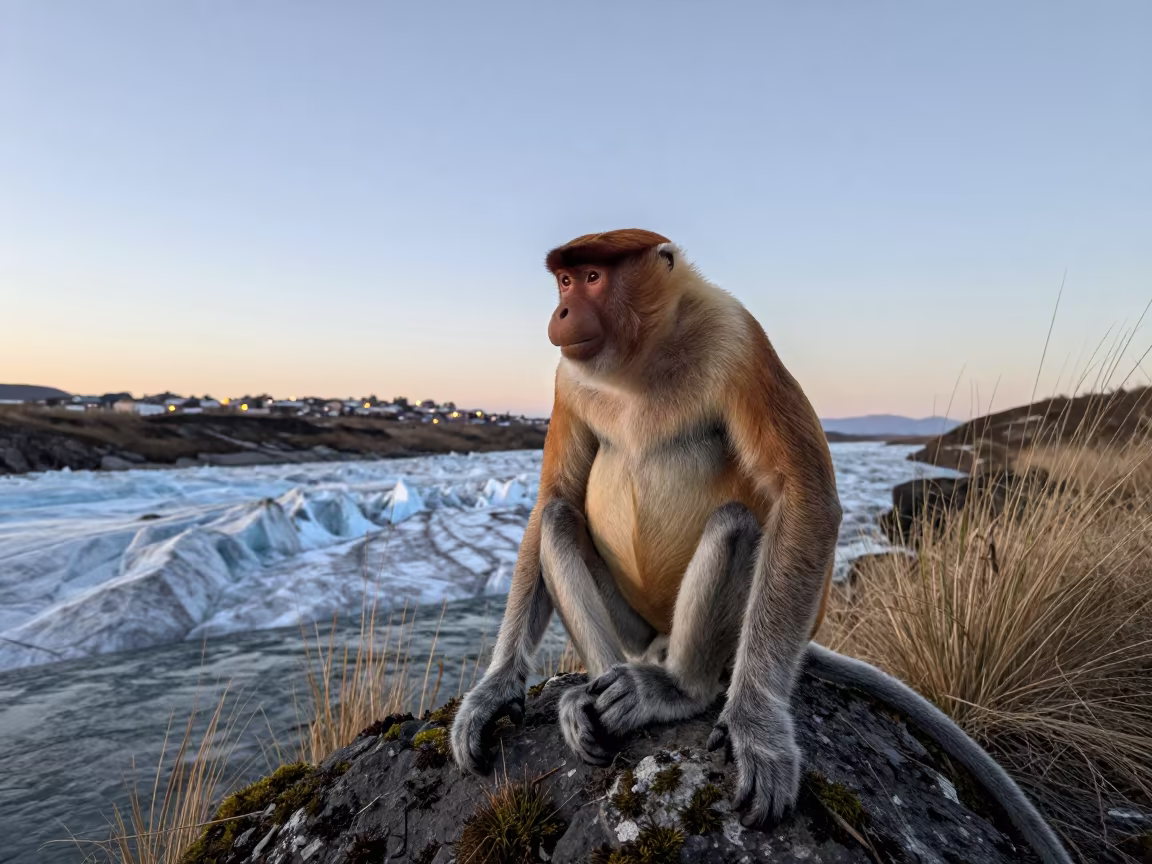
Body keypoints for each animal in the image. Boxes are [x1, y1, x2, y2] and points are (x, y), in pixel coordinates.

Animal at [449, 230, 1071, 864]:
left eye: (593, 277)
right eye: (565, 281)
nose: (562, 313)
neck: (640, 361)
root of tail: (659, 643)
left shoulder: (738, 338)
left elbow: (804, 496)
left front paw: (760, 736)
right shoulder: (567, 380)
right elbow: (554, 496)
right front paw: (493, 693)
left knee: (737, 524)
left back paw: (673, 690)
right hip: (634, 629)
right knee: (557, 520)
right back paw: (593, 701)